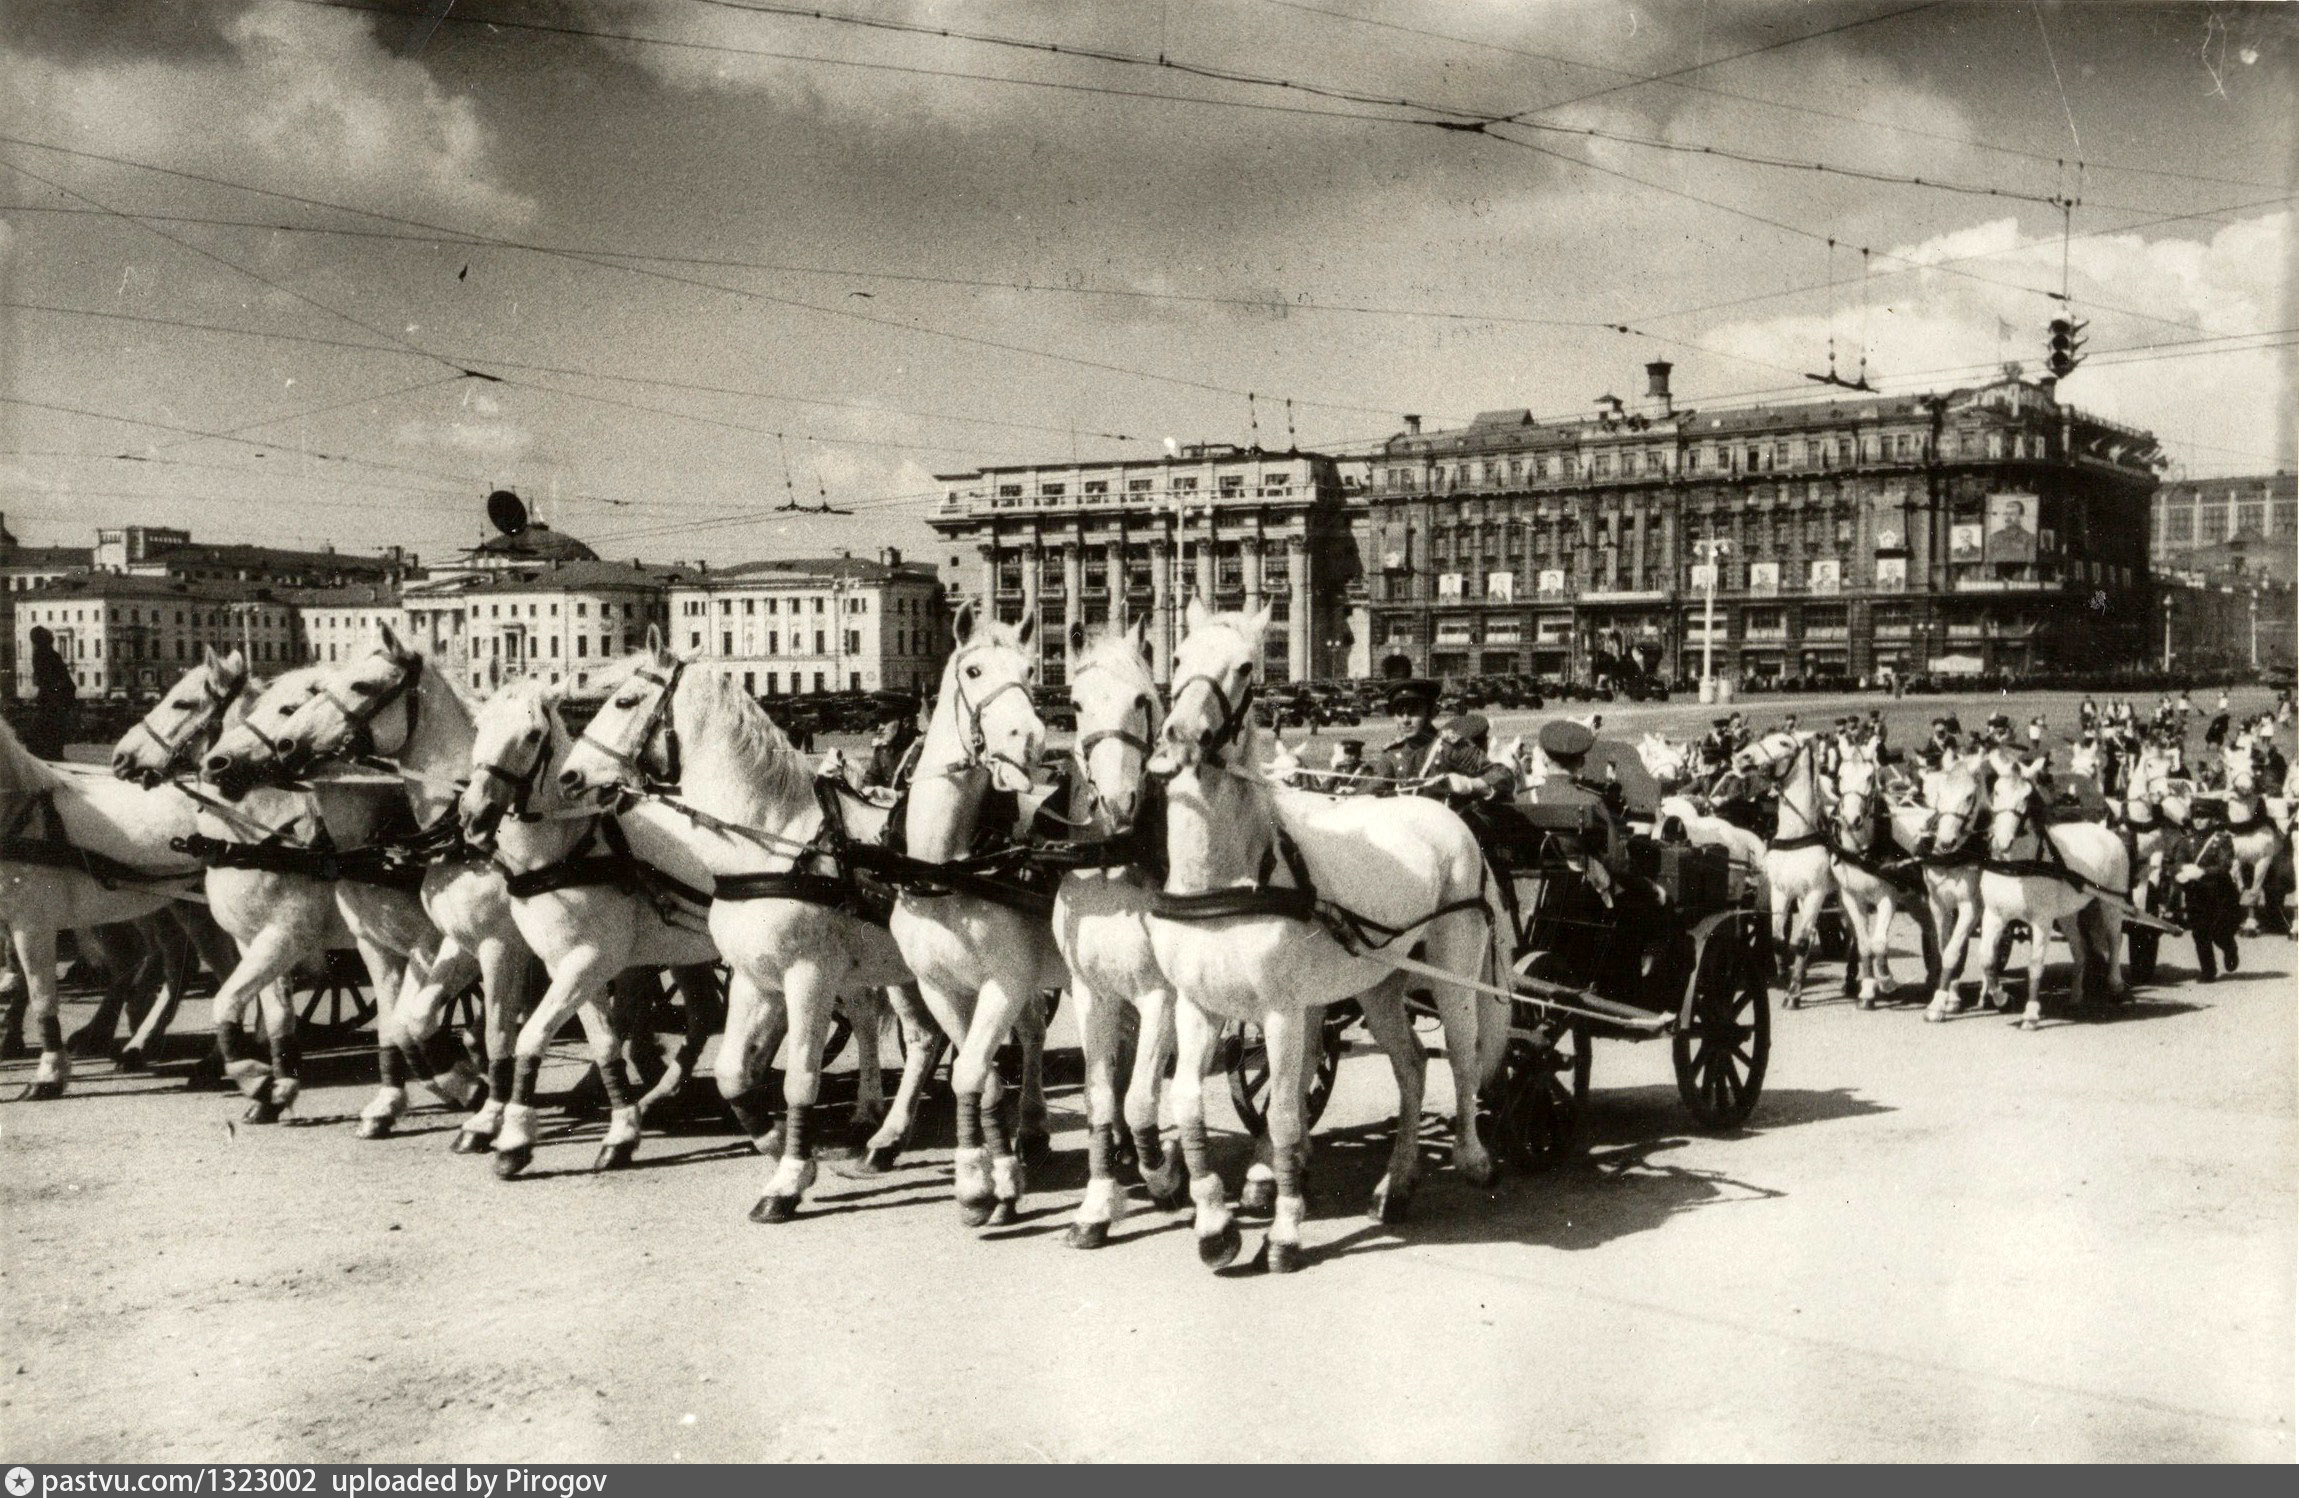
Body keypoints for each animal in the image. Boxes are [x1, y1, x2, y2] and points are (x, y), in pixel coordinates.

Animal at [0, 721, 206, 1093]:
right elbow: (20, 978)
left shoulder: (33, 922)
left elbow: (40, 991)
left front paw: (49, 1073)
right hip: (166, 905)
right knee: (173, 962)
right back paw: (136, 1041)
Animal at [556, 643, 942, 1213]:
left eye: (625, 701)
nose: (569, 777)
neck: (773, 839)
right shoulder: (753, 978)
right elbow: (733, 1073)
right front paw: (777, 1144)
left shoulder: (809, 979)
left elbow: (801, 1078)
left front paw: (788, 1180)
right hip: (901, 972)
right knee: (924, 1039)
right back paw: (885, 1142)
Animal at [1149, 597, 1508, 1277]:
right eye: (1177, 656)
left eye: (1246, 666)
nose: (1180, 737)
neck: (1230, 876)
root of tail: (1441, 811)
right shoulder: (1198, 1006)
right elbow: (1187, 1107)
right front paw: (1215, 1224)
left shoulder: (1283, 1013)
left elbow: (1288, 1117)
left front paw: (1285, 1231)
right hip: (1379, 982)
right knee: (1412, 1066)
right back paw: (1396, 1184)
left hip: (1454, 972)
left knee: (1463, 1055)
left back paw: (1473, 1157)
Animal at [1738, 730, 1830, 1006]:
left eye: (1784, 742)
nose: (1743, 756)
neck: (1796, 838)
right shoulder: (1781, 891)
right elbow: (1778, 940)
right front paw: (1784, 975)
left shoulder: (1816, 893)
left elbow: (1801, 942)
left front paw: (1794, 993)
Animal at [1967, 762, 2124, 1029]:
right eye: (1996, 791)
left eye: (2027, 797)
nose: (2003, 841)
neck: (2016, 867)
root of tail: (2104, 831)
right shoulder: (1994, 915)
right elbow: (1987, 959)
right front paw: (2001, 999)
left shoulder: (2041, 921)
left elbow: (2035, 965)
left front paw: (2030, 1013)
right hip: (2068, 914)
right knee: (2080, 949)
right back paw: (2076, 995)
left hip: (2111, 904)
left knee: (2115, 940)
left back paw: (2115, 986)